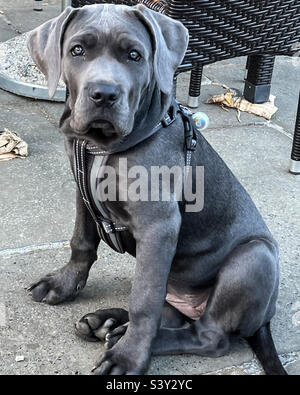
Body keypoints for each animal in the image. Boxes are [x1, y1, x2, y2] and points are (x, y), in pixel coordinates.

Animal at [27, 3, 288, 378]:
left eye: (134, 55)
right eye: (77, 50)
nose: (104, 94)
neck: (102, 146)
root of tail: (265, 318)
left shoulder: (158, 225)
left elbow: (144, 298)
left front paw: (128, 358)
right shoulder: (81, 191)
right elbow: (81, 241)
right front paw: (62, 283)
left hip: (255, 257)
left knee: (207, 335)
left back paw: (127, 338)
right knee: (173, 314)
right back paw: (106, 322)